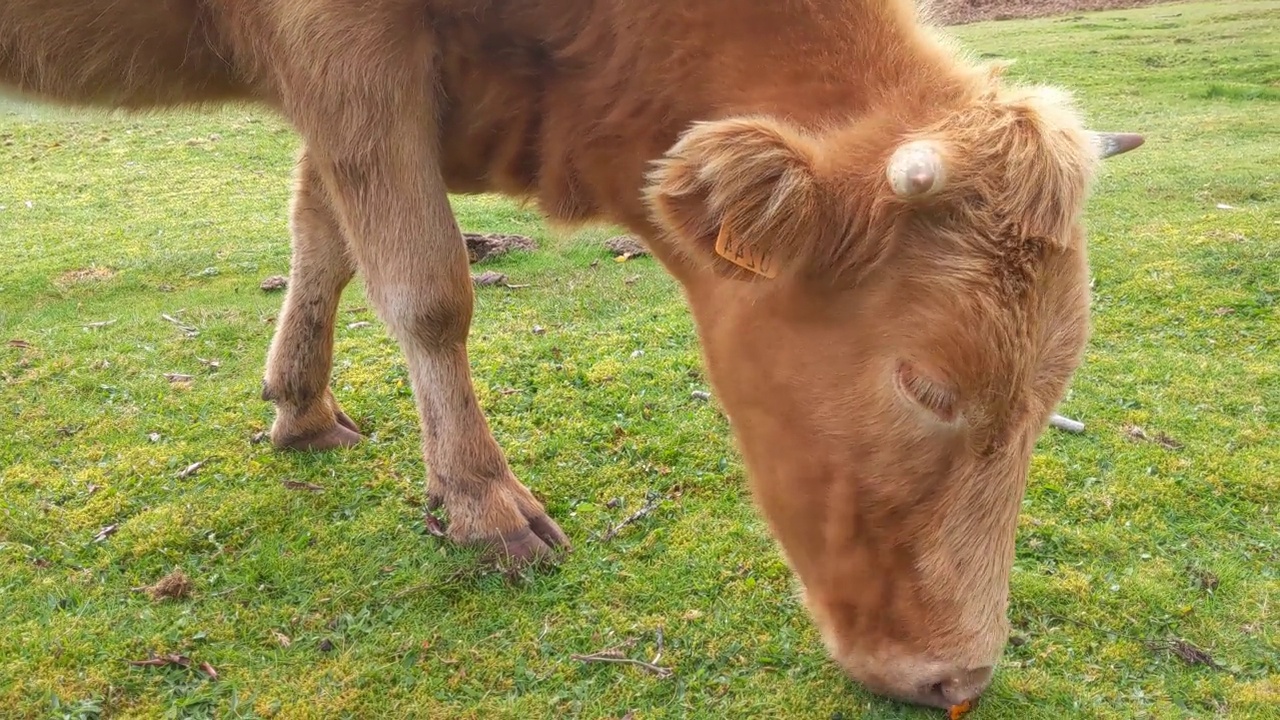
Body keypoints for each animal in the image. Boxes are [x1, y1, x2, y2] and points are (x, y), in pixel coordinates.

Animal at [0, 0, 1141, 707]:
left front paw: (302, 408)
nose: (961, 677)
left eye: (1048, 392)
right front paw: (481, 503)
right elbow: (425, 283)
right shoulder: (344, 51)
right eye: (927, 386)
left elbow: (322, 239)